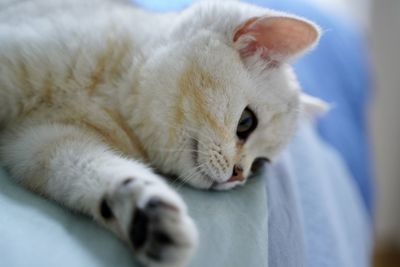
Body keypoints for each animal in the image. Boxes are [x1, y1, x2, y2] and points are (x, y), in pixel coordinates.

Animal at [0, 0, 324, 267]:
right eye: (246, 122)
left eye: (259, 166)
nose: (238, 176)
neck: (114, 91)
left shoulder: (42, 139)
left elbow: (86, 169)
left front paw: (147, 215)